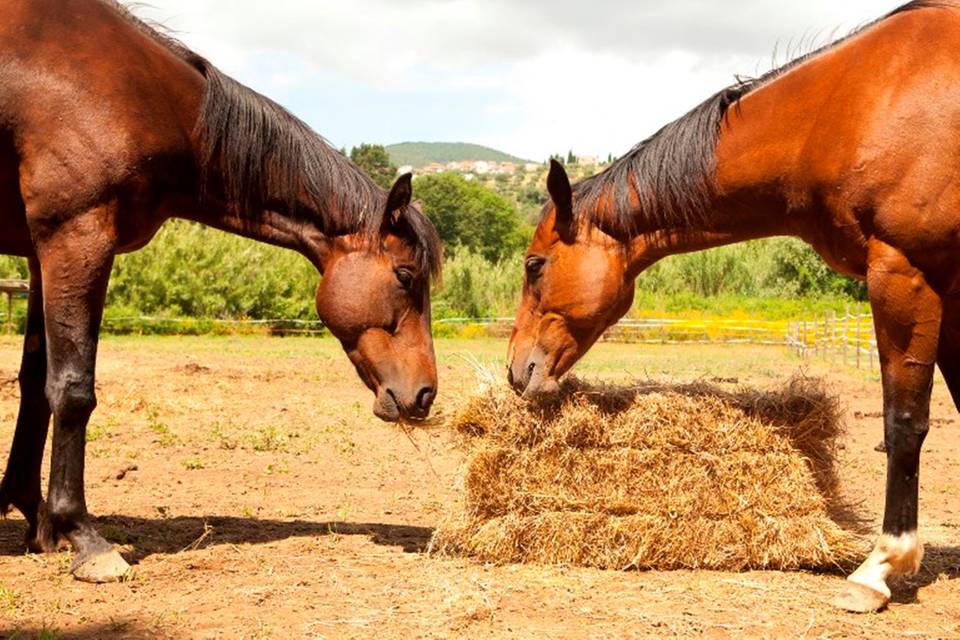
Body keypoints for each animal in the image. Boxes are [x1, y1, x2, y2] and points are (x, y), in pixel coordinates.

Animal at [0, 0, 442, 584]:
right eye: (406, 276)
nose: (425, 394)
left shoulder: (40, 251)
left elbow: (34, 385)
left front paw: (36, 518)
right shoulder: (76, 237)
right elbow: (72, 390)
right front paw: (84, 537)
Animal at [506, 2, 956, 616]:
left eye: (534, 266)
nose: (514, 370)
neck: (844, 109)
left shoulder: (905, 273)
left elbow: (904, 421)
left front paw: (881, 567)